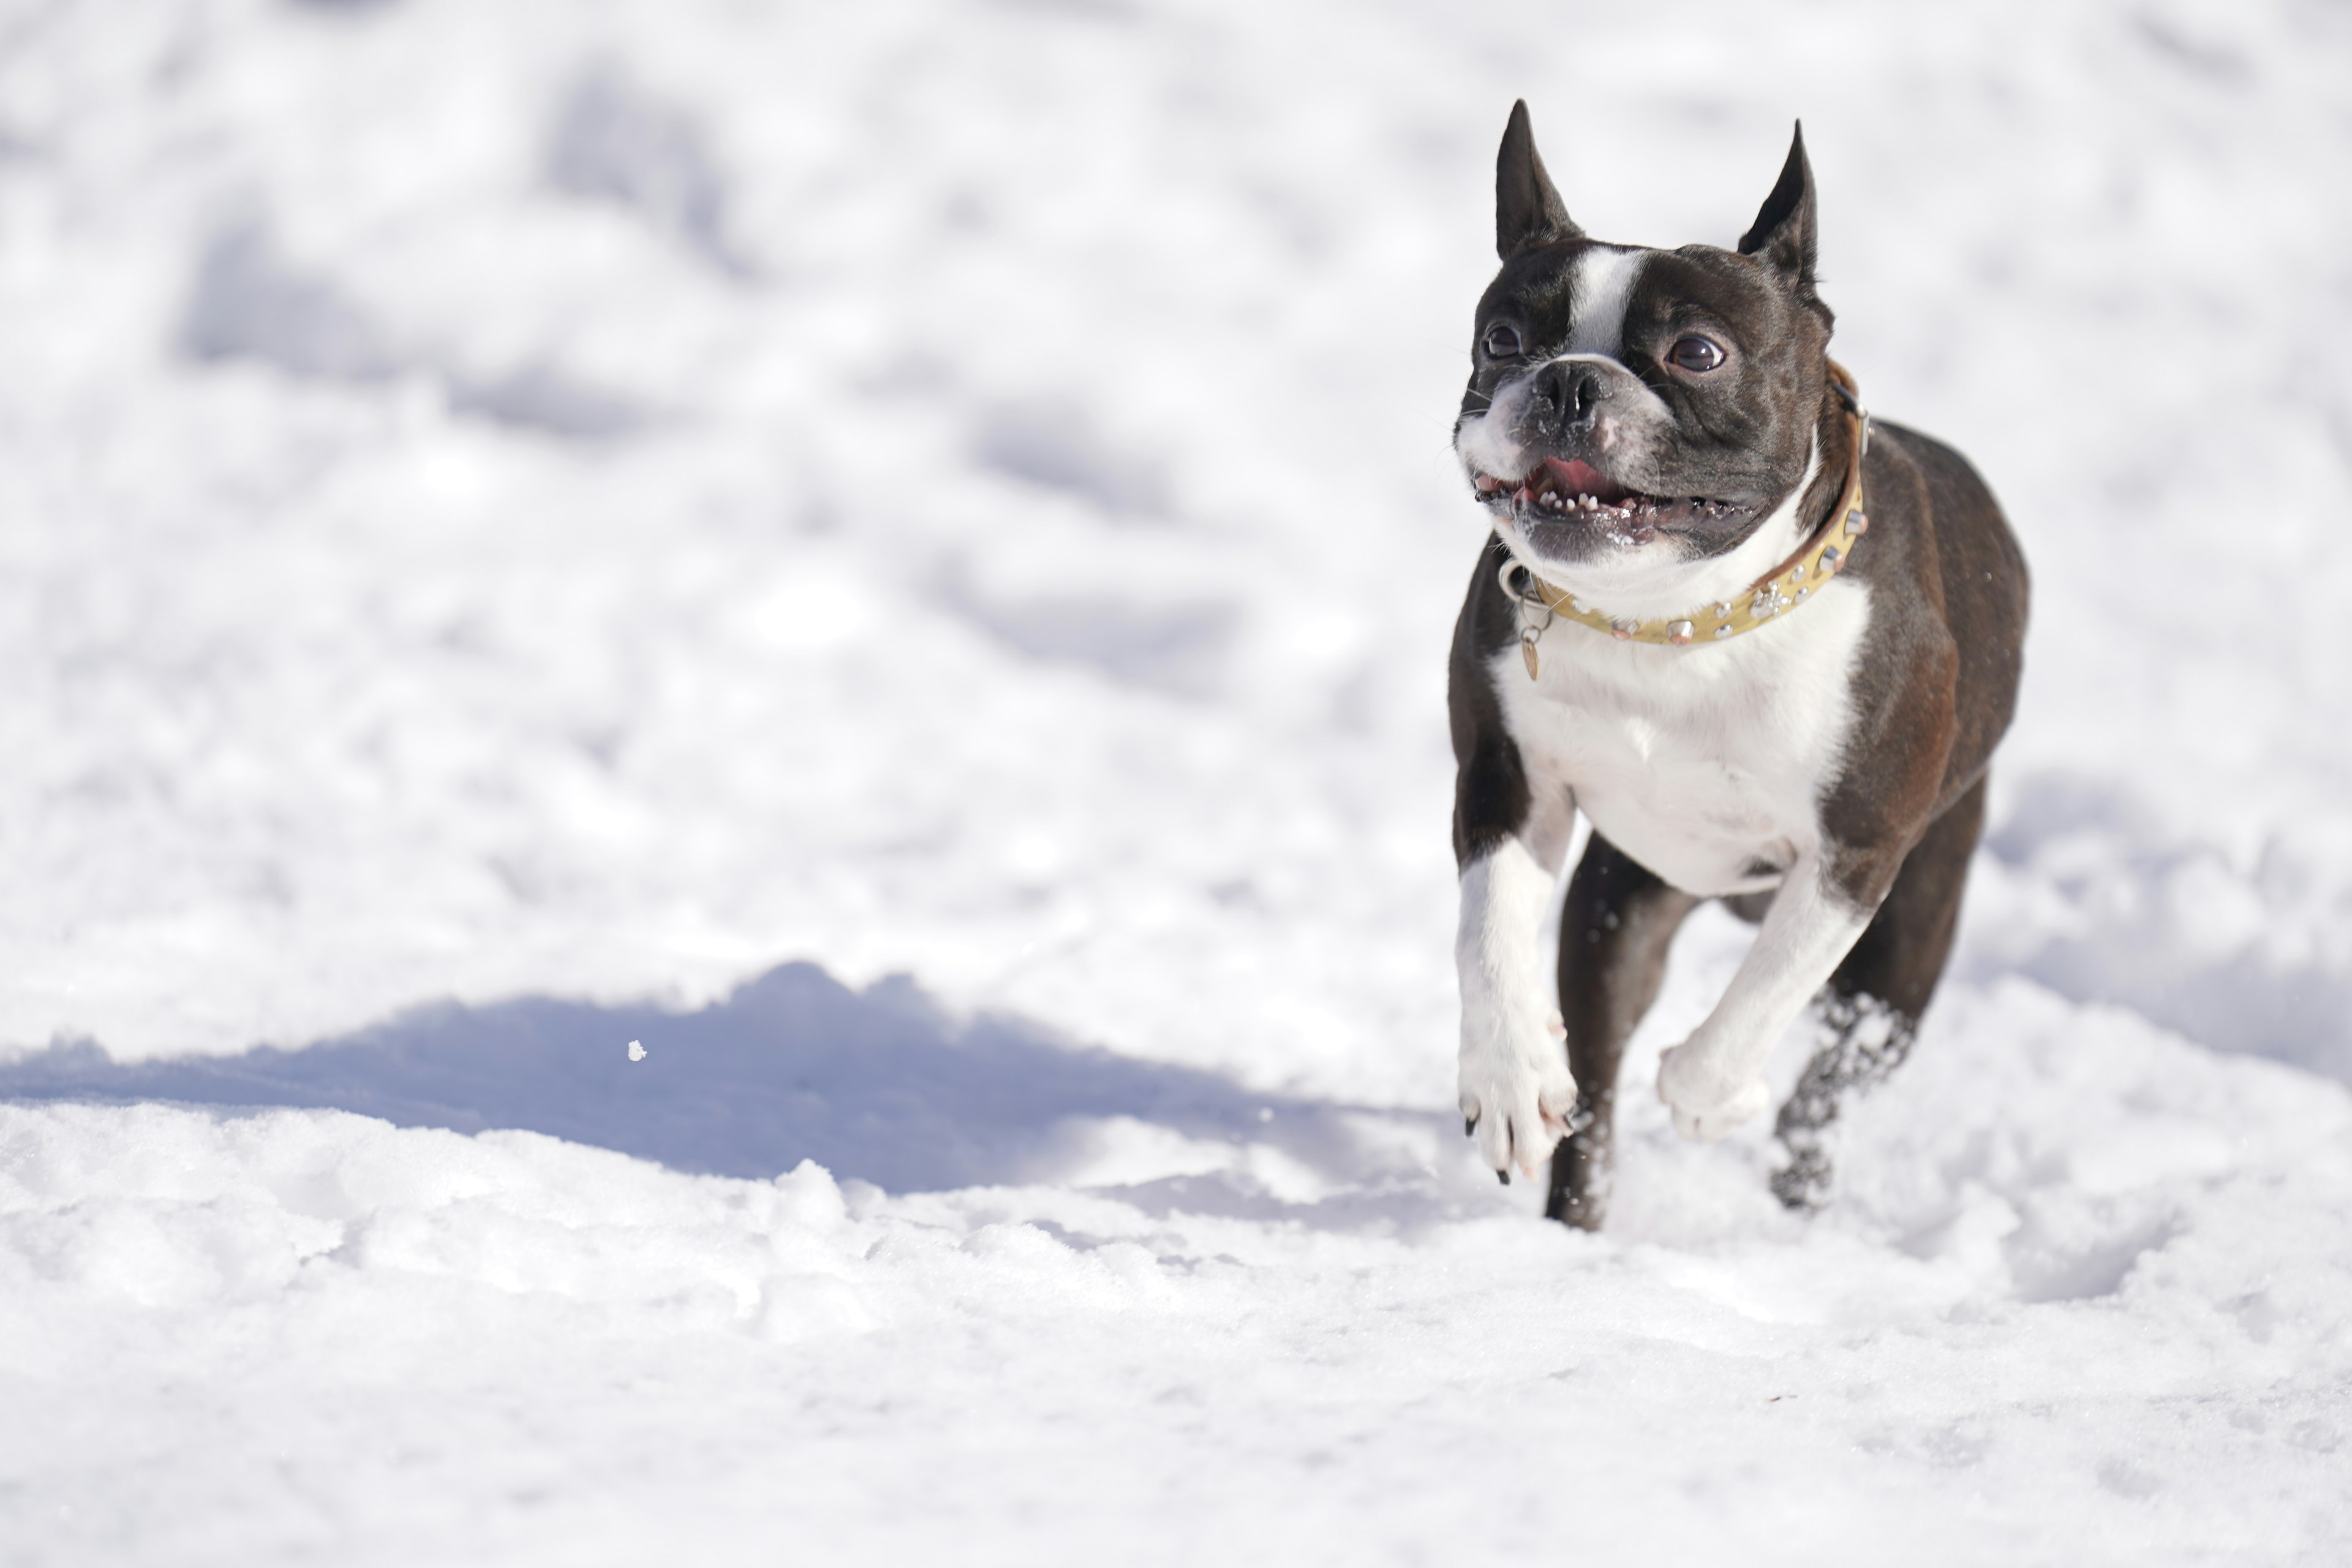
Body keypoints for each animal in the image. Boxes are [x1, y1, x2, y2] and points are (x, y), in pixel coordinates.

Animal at [1439, 104, 2032, 1222]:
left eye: (1699, 351)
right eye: (1502, 340)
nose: (1570, 383)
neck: (1679, 621)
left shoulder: (1855, 856)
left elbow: (1761, 998)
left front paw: (1715, 1096)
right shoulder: (1507, 782)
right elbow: (1490, 935)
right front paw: (1509, 1080)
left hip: (1905, 953)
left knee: (1829, 1083)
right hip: (1620, 906)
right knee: (1599, 1081)